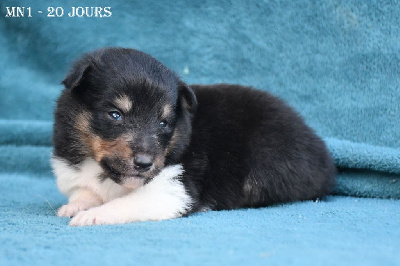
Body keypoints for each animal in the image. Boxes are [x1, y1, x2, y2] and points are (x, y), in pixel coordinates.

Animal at [51, 46, 336, 225]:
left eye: (164, 122)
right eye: (115, 114)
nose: (144, 164)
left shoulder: (174, 188)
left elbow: (127, 203)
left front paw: (92, 216)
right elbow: (83, 192)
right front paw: (74, 207)